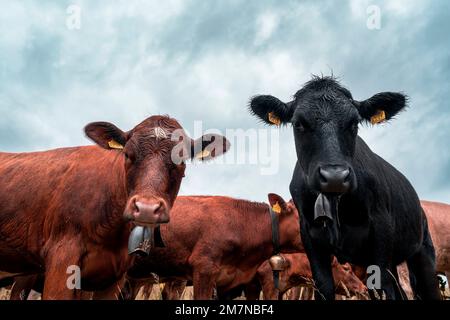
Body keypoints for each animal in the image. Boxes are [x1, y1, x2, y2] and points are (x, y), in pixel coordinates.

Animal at [250, 75, 440, 300]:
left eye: (354, 122)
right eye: (299, 123)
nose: (335, 177)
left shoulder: (382, 229)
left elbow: (382, 285)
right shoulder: (310, 238)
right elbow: (324, 286)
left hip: (422, 252)